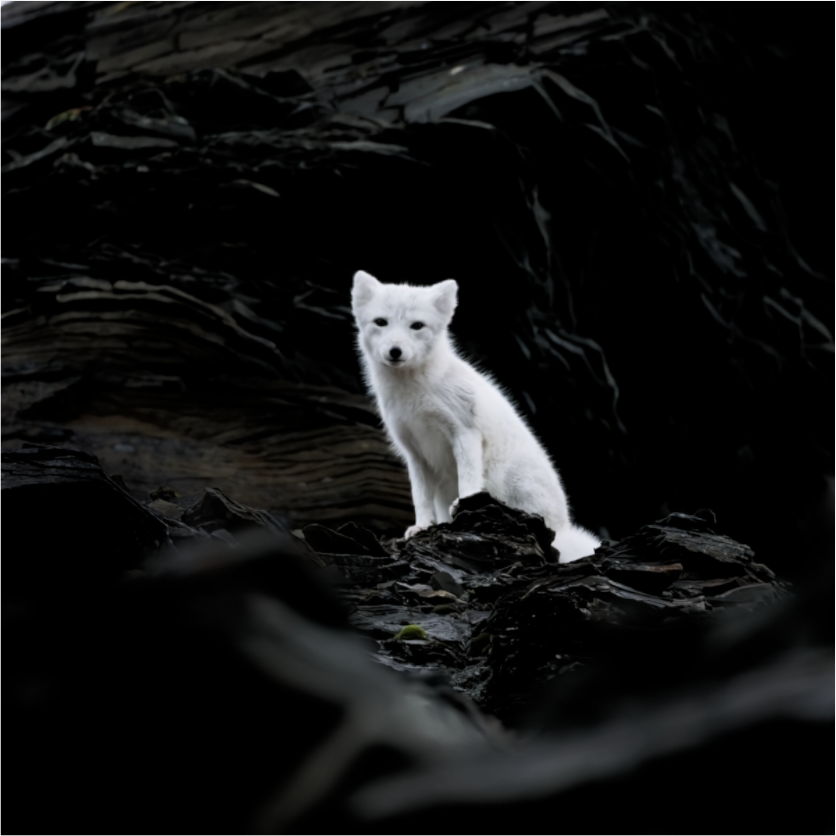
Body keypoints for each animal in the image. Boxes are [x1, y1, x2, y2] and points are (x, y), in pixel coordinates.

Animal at [351, 270, 600, 563]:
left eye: (417, 326)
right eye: (381, 322)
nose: (395, 351)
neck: (415, 393)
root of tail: (563, 527)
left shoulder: (464, 431)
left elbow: (468, 479)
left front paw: (464, 507)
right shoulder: (414, 451)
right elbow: (419, 496)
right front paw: (422, 526)